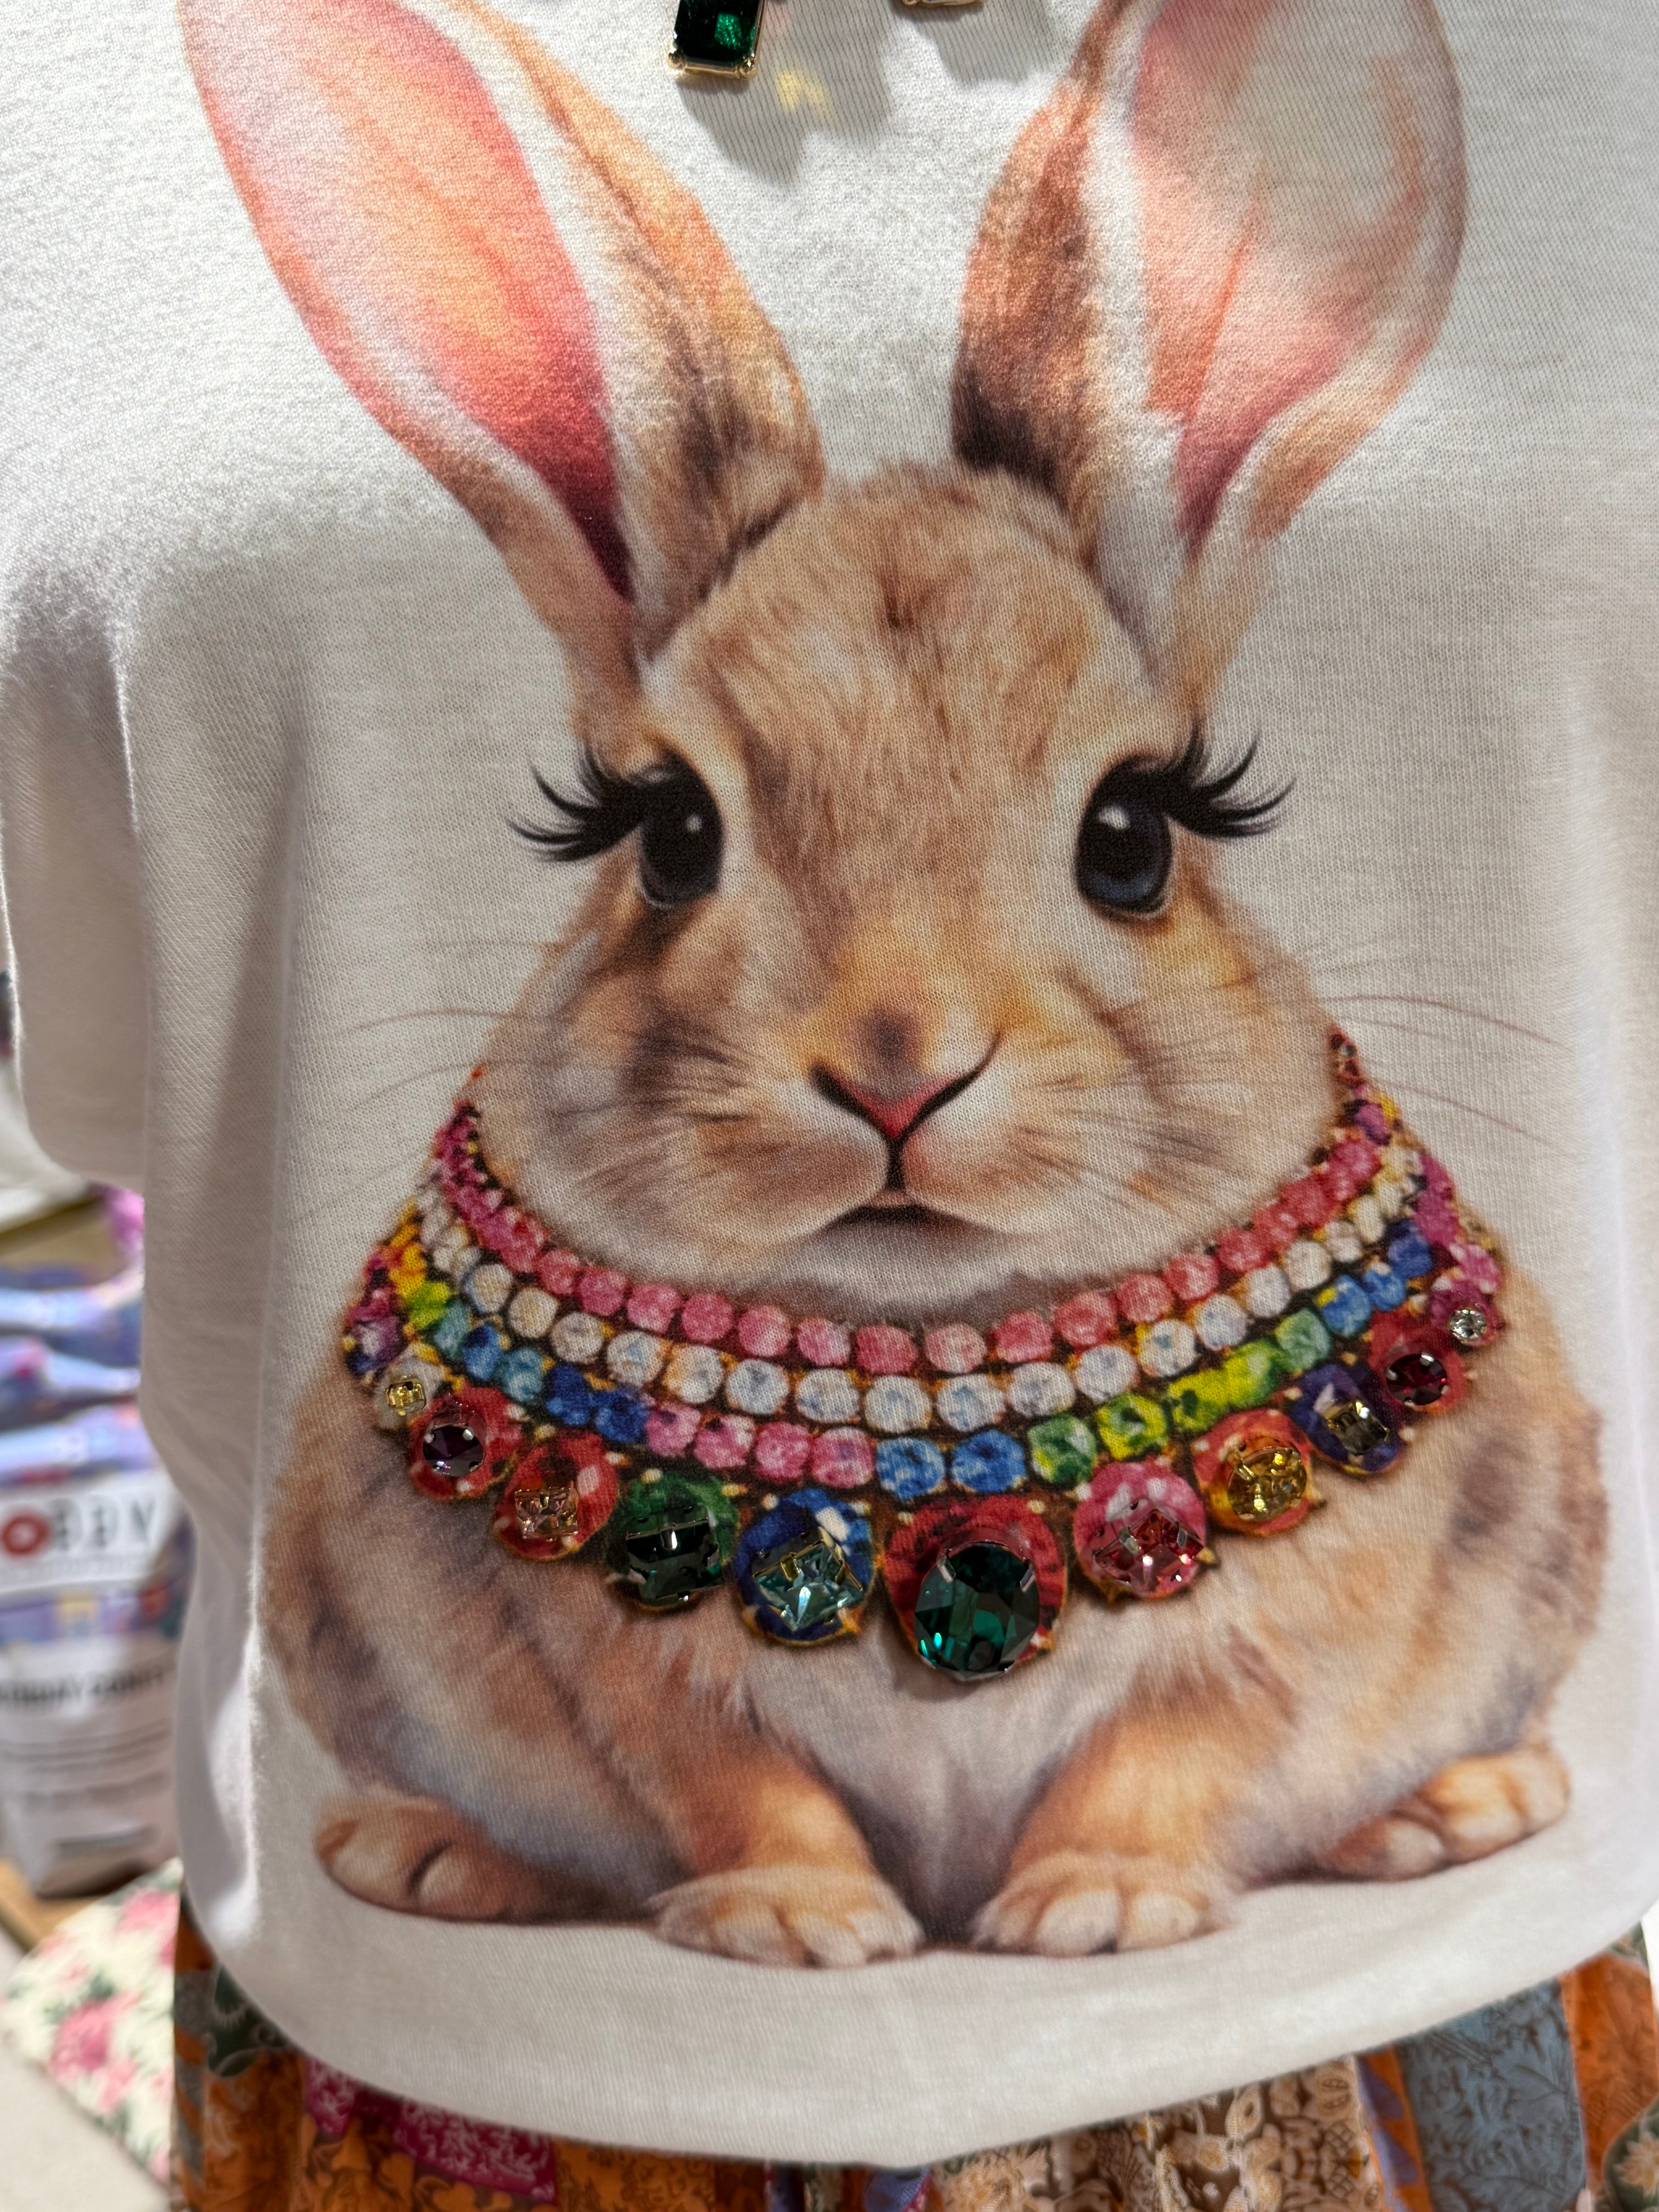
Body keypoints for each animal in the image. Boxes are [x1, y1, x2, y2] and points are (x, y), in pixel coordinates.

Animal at [185, 0, 1606, 1965]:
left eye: (1135, 835)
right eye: (666, 831)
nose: (894, 1064)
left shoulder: (1292, 1638)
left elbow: (1176, 1749)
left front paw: (1091, 1912)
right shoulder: (623, 1682)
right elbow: (728, 1777)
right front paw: (806, 1927)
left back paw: (1453, 1813)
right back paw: (435, 1858)